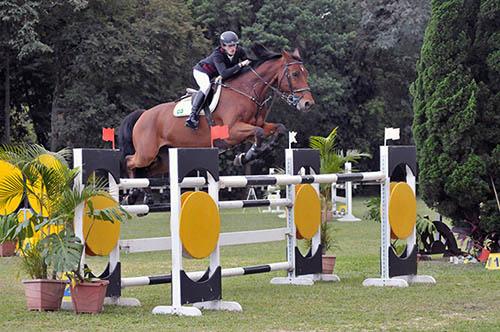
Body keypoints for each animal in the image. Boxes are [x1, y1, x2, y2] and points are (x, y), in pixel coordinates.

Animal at [117, 46, 314, 179]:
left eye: (306, 73)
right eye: (295, 74)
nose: (308, 104)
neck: (247, 91)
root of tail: (143, 115)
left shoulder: (255, 126)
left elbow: (278, 129)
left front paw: (250, 154)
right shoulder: (232, 131)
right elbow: (258, 134)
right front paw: (247, 156)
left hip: (163, 159)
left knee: (146, 169)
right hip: (147, 152)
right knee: (129, 161)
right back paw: (131, 193)